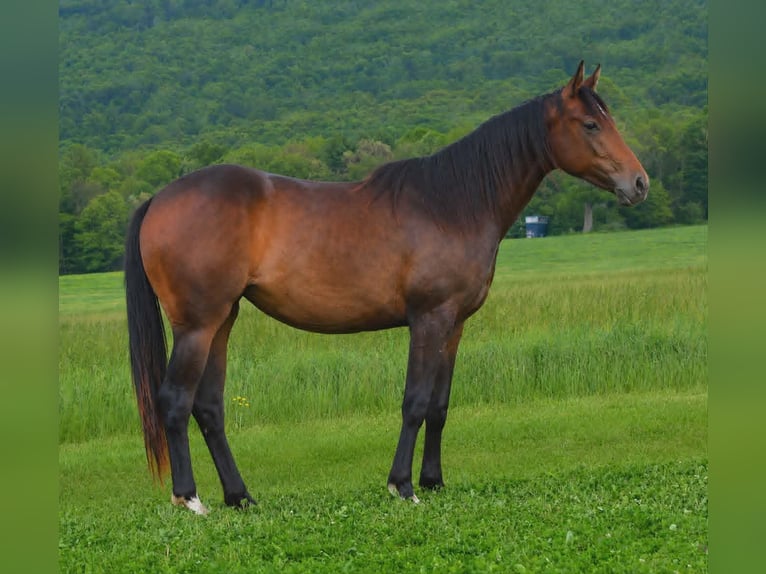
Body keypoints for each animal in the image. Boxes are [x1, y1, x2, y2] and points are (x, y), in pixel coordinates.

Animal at [125, 61, 648, 514]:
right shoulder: (429, 318)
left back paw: (240, 497)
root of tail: (159, 199)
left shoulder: (454, 325)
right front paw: (403, 486)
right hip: (198, 325)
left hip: (224, 320)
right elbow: (414, 401)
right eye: (590, 124)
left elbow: (439, 404)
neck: (452, 204)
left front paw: (434, 481)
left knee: (209, 407)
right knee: (175, 401)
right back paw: (191, 499)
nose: (639, 183)